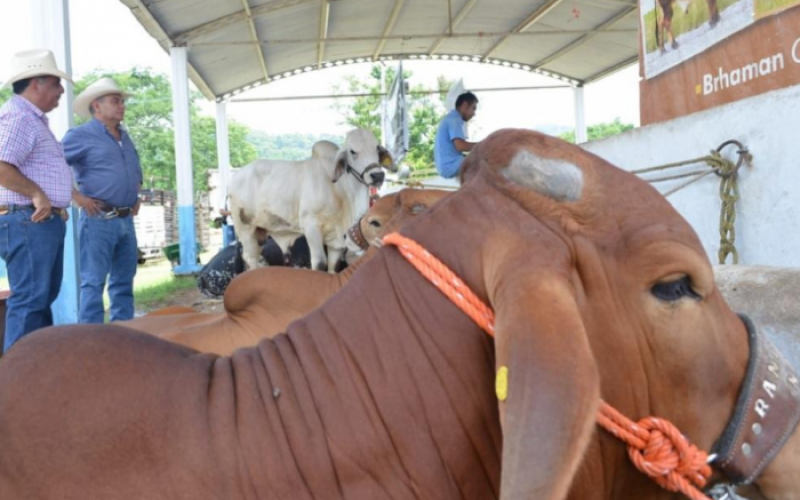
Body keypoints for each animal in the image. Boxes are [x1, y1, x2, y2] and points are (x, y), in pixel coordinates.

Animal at [230, 127, 396, 272]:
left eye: (376, 149)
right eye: (353, 151)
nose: (377, 175)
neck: (340, 191)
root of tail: (234, 178)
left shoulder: (336, 240)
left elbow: (333, 267)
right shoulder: (311, 226)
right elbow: (320, 263)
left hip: (260, 232)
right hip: (245, 229)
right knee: (250, 258)